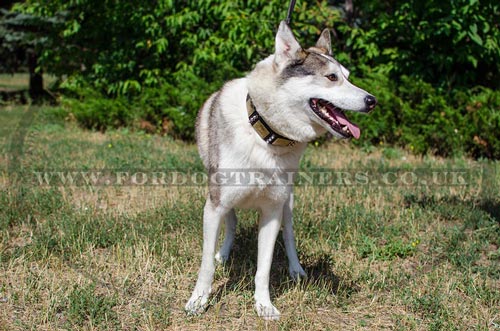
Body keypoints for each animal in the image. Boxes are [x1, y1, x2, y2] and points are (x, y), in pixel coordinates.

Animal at [186, 21, 376, 322]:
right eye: (332, 77)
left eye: (347, 77)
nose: (372, 100)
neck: (265, 134)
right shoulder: (214, 205)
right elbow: (206, 265)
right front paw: (198, 301)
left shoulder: (273, 211)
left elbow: (263, 268)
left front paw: (264, 306)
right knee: (232, 224)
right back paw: (224, 255)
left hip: (288, 202)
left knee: (289, 235)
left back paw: (296, 269)